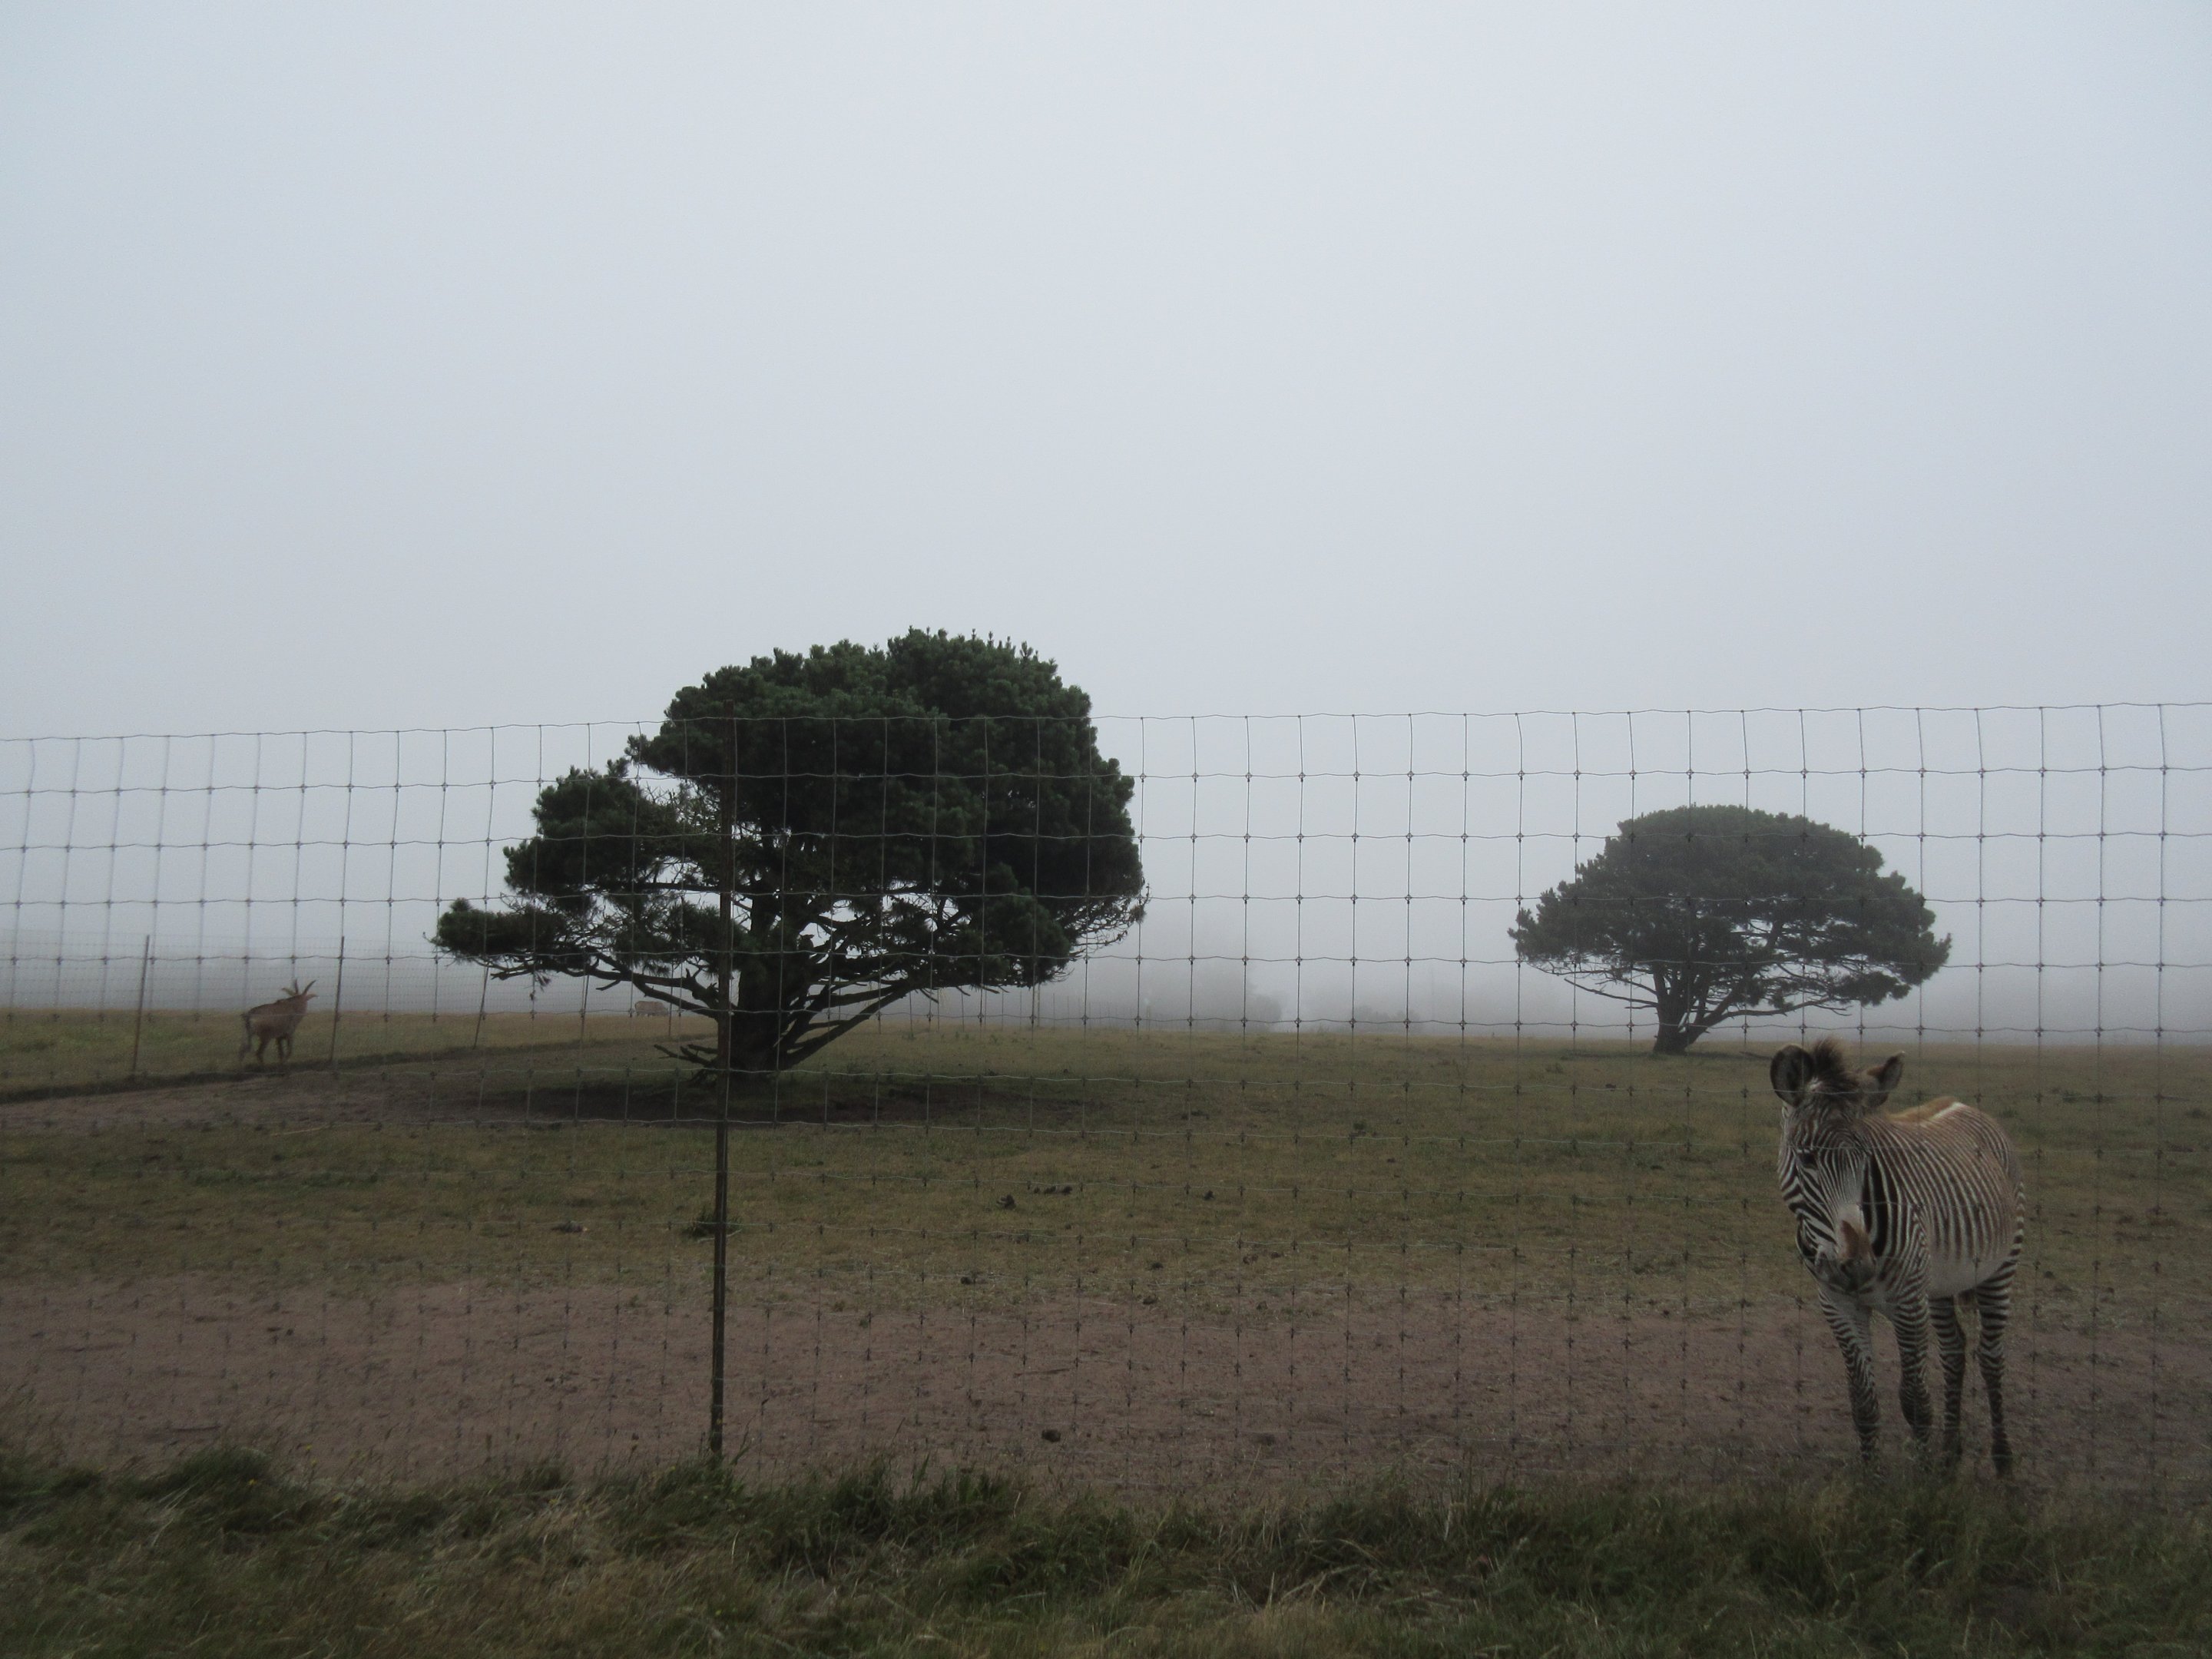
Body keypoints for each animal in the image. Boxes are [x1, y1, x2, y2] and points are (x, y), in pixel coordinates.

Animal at [1771, 1038, 2025, 1474]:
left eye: (1865, 1157)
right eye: (1807, 1159)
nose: (1857, 1265)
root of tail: (1964, 1104)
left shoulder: (1908, 1303)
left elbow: (1915, 1400)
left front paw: (1922, 1483)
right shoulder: (1838, 1302)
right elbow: (1863, 1401)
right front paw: (1873, 1480)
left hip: (1999, 1268)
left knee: (1991, 1357)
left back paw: (2003, 1460)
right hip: (1939, 1283)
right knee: (1954, 1349)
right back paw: (1949, 1454)